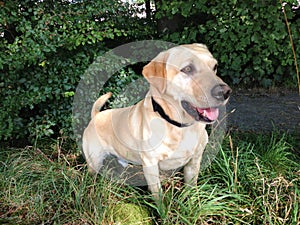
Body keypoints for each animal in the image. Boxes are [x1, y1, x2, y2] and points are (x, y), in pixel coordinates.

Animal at [82, 43, 232, 198]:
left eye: (214, 67)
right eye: (187, 69)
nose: (225, 92)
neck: (180, 127)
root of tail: (96, 116)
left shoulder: (194, 161)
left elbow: (191, 189)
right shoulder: (151, 165)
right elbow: (158, 195)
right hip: (94, 163)